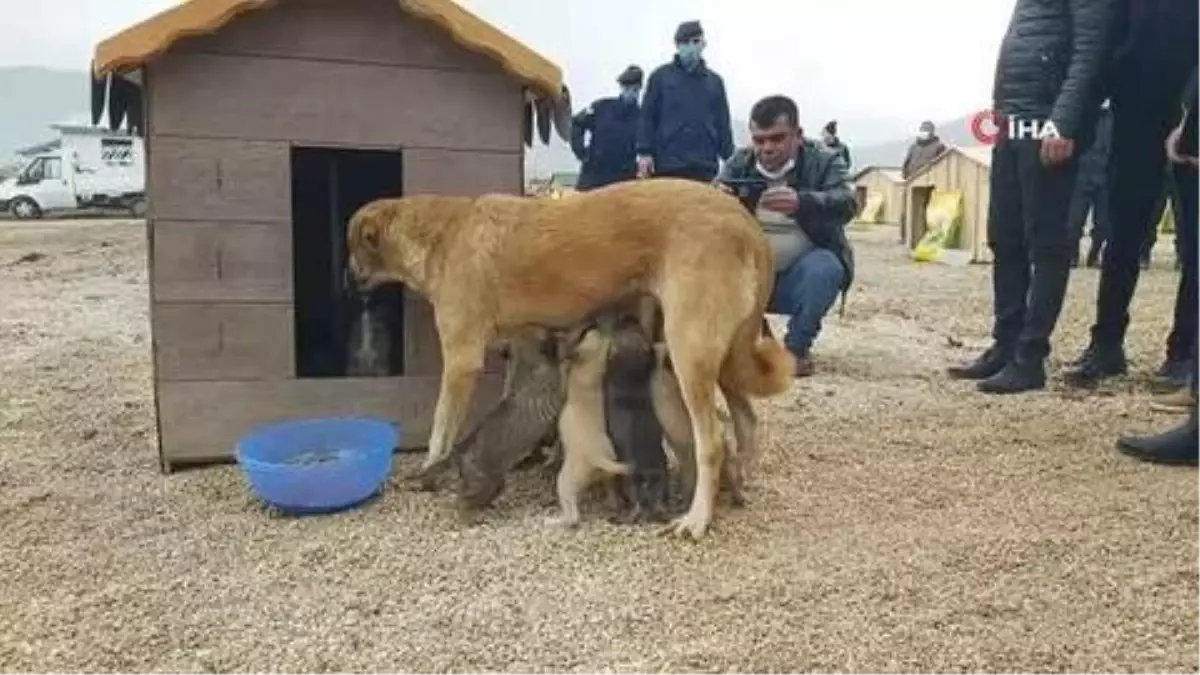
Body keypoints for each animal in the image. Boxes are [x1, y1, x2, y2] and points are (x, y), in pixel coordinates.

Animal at [348, 176, 796, 538]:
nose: (347, 282)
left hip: (690, 349)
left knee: (713, 442)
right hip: (721, 357)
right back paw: (739, 484)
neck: (443, 233)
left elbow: (440, 431)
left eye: (351, 249)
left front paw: (429, 473)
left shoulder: (461, 361)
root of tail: (745, 219)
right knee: (745, 420)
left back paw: (698, 518)